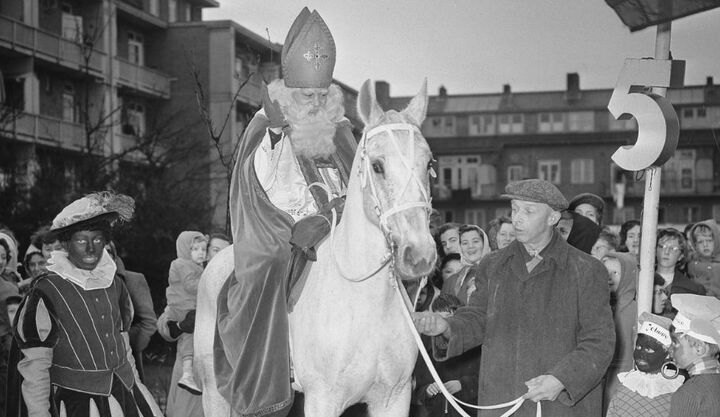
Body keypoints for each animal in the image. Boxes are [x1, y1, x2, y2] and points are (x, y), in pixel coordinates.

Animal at [194, 79, 436, 416]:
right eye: (377, 166)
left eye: (429, 163)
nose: (421, 255)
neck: (366, 301)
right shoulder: (323, 399)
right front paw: (275, 126)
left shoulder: (394, 397)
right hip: (215, 391)